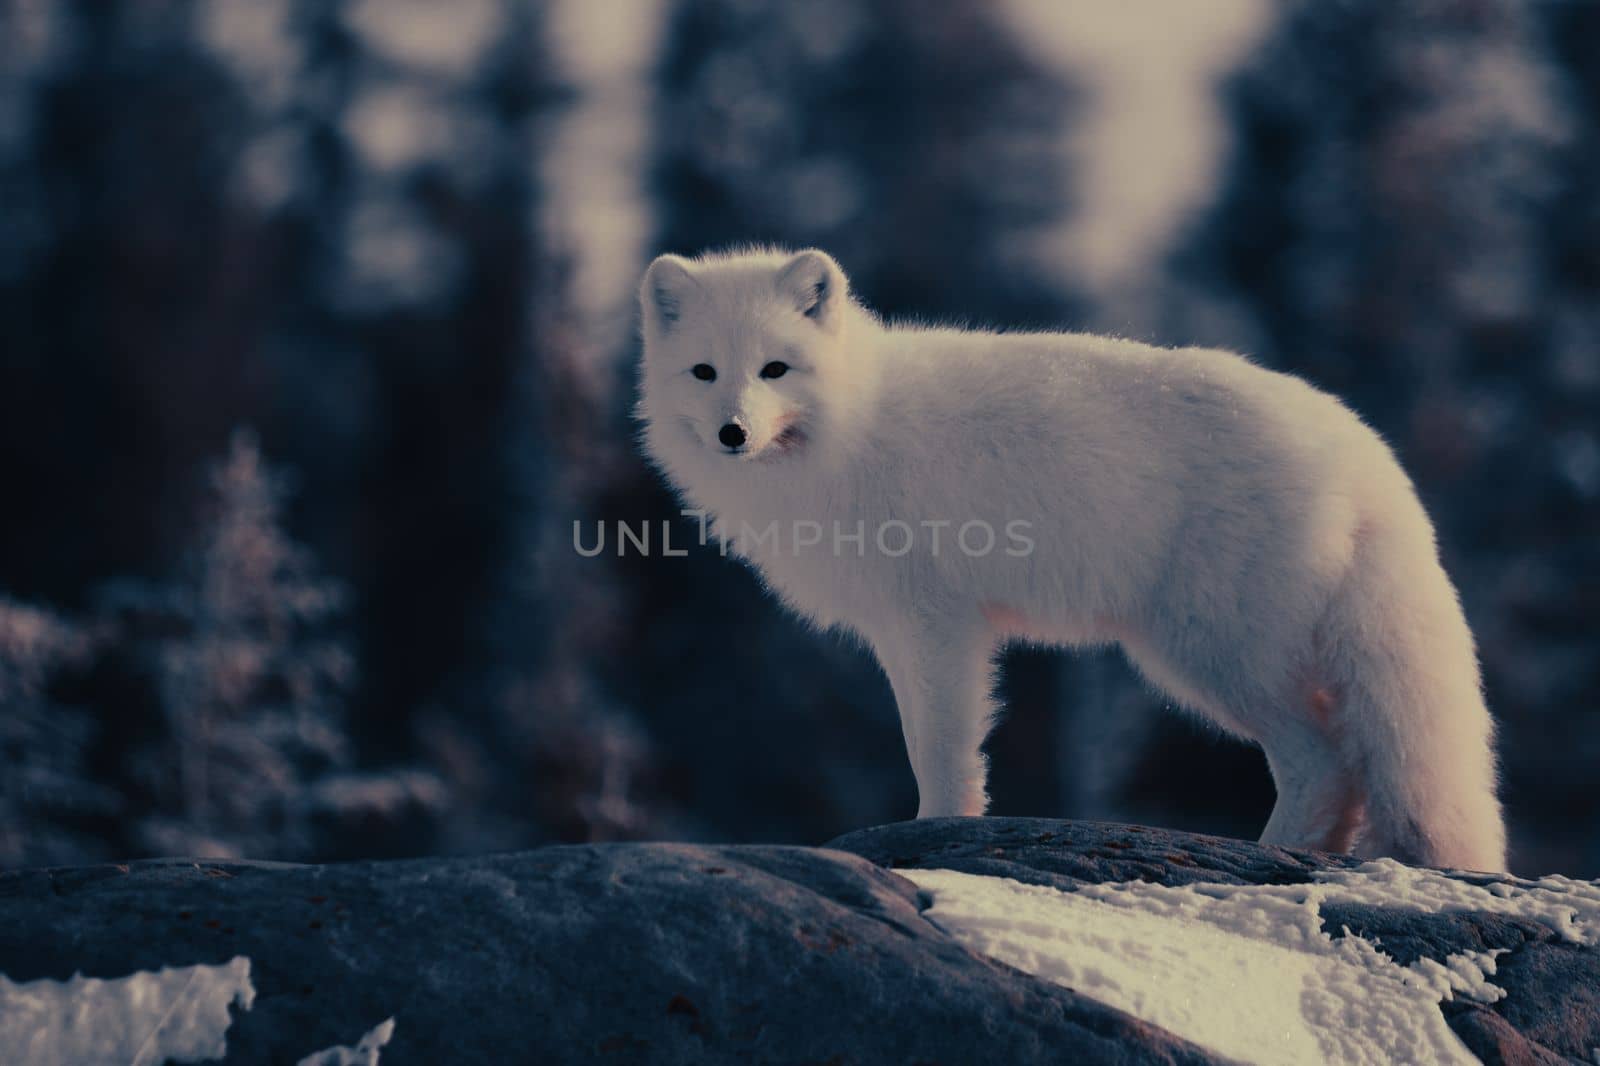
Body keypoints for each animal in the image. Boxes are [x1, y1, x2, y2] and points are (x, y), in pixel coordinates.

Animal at [633, 244, 1497, 870]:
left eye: (775, 369)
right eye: (704, 373)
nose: (733, 432)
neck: (853, 426)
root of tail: (1362, 449)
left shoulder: (938, 624)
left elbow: (939, 749)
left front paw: (934, 834)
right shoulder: (903, 631)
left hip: (1211, 655)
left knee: (1326, 765)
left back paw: (1270, 855)